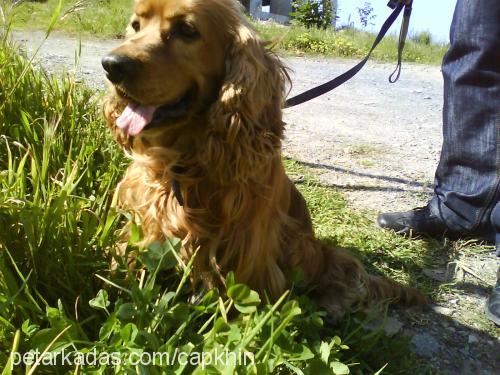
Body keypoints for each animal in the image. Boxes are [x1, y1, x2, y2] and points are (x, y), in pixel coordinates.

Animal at [102, 0, 426, 322]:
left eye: (186, 30)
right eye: (135, 26)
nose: (111, 65)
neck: (186, 162)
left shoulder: (249, 252)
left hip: (306, 248)